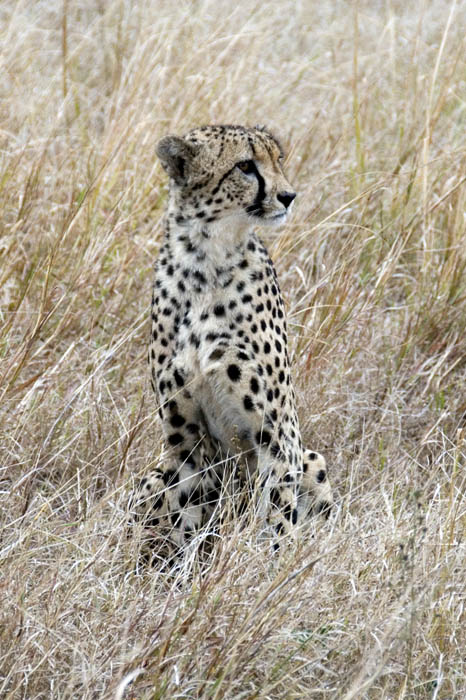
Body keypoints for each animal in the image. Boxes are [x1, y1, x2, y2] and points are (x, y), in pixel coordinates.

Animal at [130, 124, 333, 551]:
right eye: (245, 166)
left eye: (278, 160)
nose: (288, 196)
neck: (205, 257)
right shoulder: (184, 443)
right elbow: (185, 514)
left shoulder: (278, 438)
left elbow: (277, 518)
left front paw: (270, 564)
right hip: (154, 474)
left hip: (311, 459)